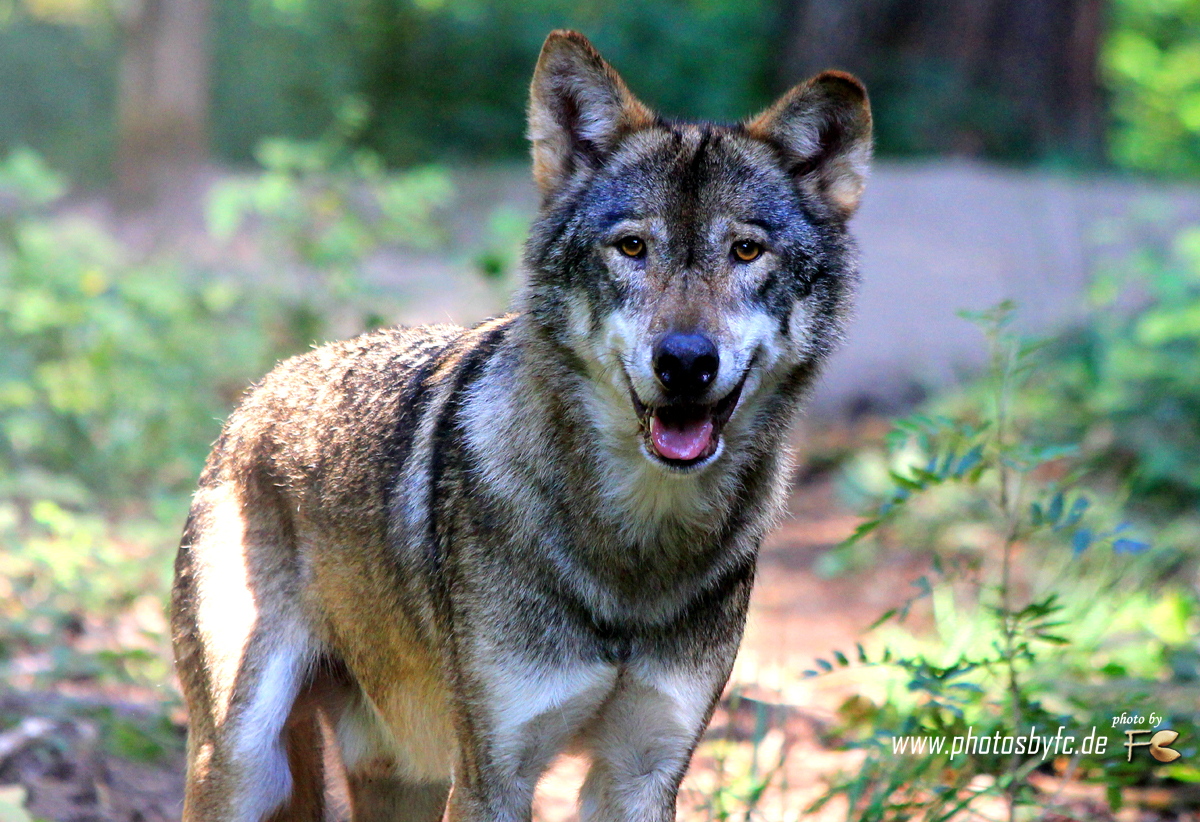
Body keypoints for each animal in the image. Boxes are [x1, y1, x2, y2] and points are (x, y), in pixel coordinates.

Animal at [171, 28, 873, 816]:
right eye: (632, 247)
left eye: (746, 250)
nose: (686, 361)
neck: (633, 557)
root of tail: (258, 394)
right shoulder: (494, 776)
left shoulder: (643, 774)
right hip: (246, 763)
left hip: (406, 773)